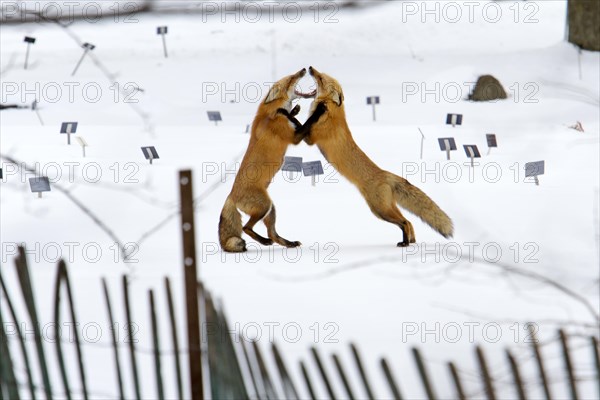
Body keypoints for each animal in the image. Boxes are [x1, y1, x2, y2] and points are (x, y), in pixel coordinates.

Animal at [218, 67, 316, 252]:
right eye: (291, 79)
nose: (303, 69)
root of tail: (231, 196)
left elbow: (294, 118)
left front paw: (293, 111)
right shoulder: (294, 138)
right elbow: (306, 123)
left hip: (271, 209)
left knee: (273, 234)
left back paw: (288, 243)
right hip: (264, 206)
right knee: (246, 228)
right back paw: (263, 241)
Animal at [302, 67, 452, 245]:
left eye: (321, 79)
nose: (310, 68)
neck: (333, 111)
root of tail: (385, 174)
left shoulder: (311, 138)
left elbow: (302, 123)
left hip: (380, 210)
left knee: (404, 222)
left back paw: (405, 243)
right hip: (383, 208)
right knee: (409, 221)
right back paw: (411, 241)